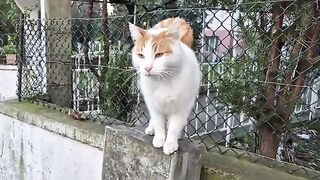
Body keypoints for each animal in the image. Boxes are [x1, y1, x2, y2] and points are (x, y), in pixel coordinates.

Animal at [128, 17, 200, 155]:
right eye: (141, 55)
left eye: (159, 55)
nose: (147, 68)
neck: (163, 81)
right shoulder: (154, 106)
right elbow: (159, 124)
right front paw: (159, 139)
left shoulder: (180, 109)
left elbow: (173, 128)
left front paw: (170, 143)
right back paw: (151, 129)